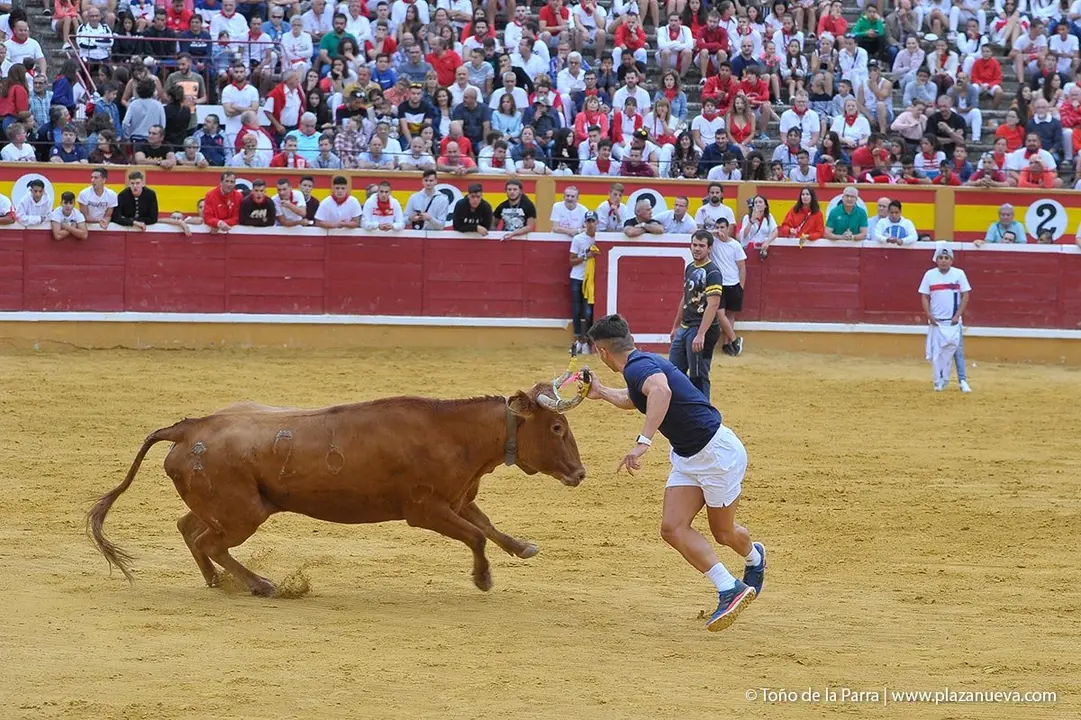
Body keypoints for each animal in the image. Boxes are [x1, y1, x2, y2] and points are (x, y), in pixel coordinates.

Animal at [87, 371, 590, 596]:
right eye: (557, 428)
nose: (580, 473)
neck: (456, 434)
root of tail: (189, 428)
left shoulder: (458, 499)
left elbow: (488, 528)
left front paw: (524, 547)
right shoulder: (425, 510)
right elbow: (475, 536)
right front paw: (482, 579)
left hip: (228, 507)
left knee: (190, 529)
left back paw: (219, 581)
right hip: (244, 513)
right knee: (208, 540)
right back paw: (261, 584)